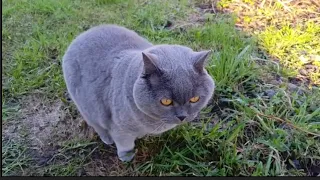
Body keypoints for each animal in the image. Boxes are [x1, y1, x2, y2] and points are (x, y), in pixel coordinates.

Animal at [62, 24, 215, 162]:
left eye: (195, 99)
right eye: (166, 101)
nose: (182, 117)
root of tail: (83, 35)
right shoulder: (120, 128)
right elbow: (124, 143)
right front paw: (127, 157)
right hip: (86, 107)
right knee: (96, 124)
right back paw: (107, 139)